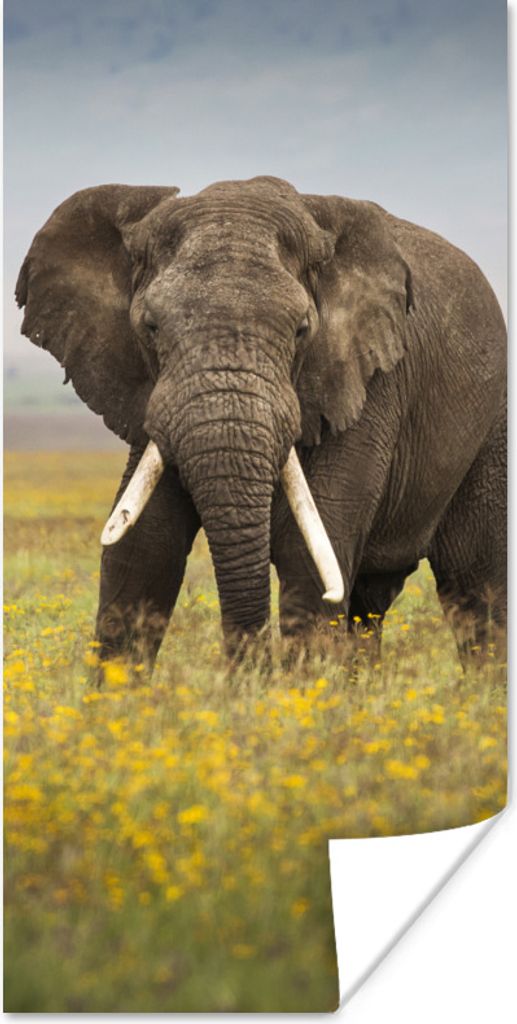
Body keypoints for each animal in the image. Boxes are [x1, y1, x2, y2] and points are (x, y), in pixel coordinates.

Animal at [16, 176, 506, 669]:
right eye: (150, 328)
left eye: (302, 331)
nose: (250, 671)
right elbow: (145, 548)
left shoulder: (368, 385)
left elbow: (308, 555)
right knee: (371, 601)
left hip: (493, 426)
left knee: (477, 585)